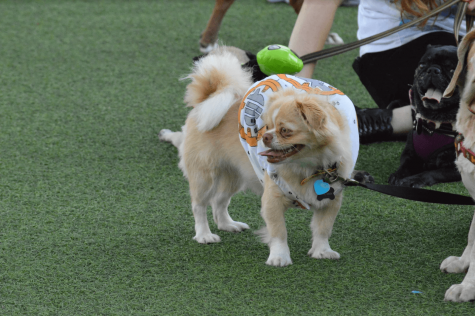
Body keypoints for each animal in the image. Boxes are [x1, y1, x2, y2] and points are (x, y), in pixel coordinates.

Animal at [158, 46, 358, 266]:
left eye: (285, 131)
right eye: (267, 126)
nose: (265, 136)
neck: (307, 168)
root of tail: (208, 99)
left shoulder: (330, 201)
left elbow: (323, 229)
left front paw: (322, 251)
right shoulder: (272, 200)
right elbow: (279, 232)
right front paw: (279, 257)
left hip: (234, 176)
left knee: (219, 201)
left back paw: (228, 225)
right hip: (205, 177)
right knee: (199, 206)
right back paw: (205, 235)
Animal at [388, 44, 462, 188]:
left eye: (452, 70)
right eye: (422, 65)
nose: (433, 70)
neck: (436, 122)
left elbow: (434, 172)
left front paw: (413, 180)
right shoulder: (410, 153)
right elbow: (405, 165)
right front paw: (398, 175)